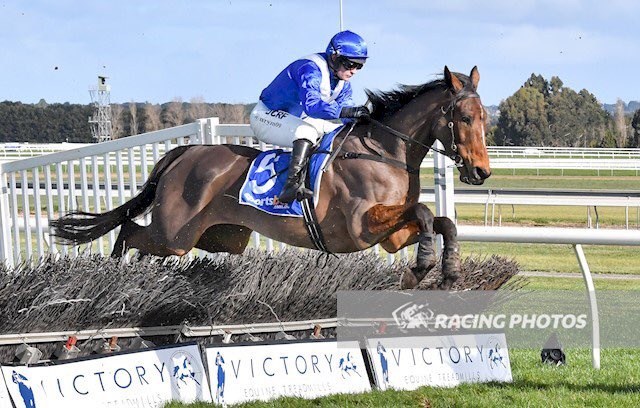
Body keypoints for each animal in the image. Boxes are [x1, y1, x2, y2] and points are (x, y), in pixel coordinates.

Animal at [52, 67, 490, 288]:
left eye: (485, 117)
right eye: (465, 118)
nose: (481, 171)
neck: (384, 152)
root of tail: (185, 152)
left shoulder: (390, 236)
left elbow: (442, 221)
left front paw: (448, 269)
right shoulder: (362, 226)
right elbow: (424, 211)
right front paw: (423, 266)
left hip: (217, 238)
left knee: (142, 243)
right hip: (174, 233)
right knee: (128, 231)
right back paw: (113, 277)